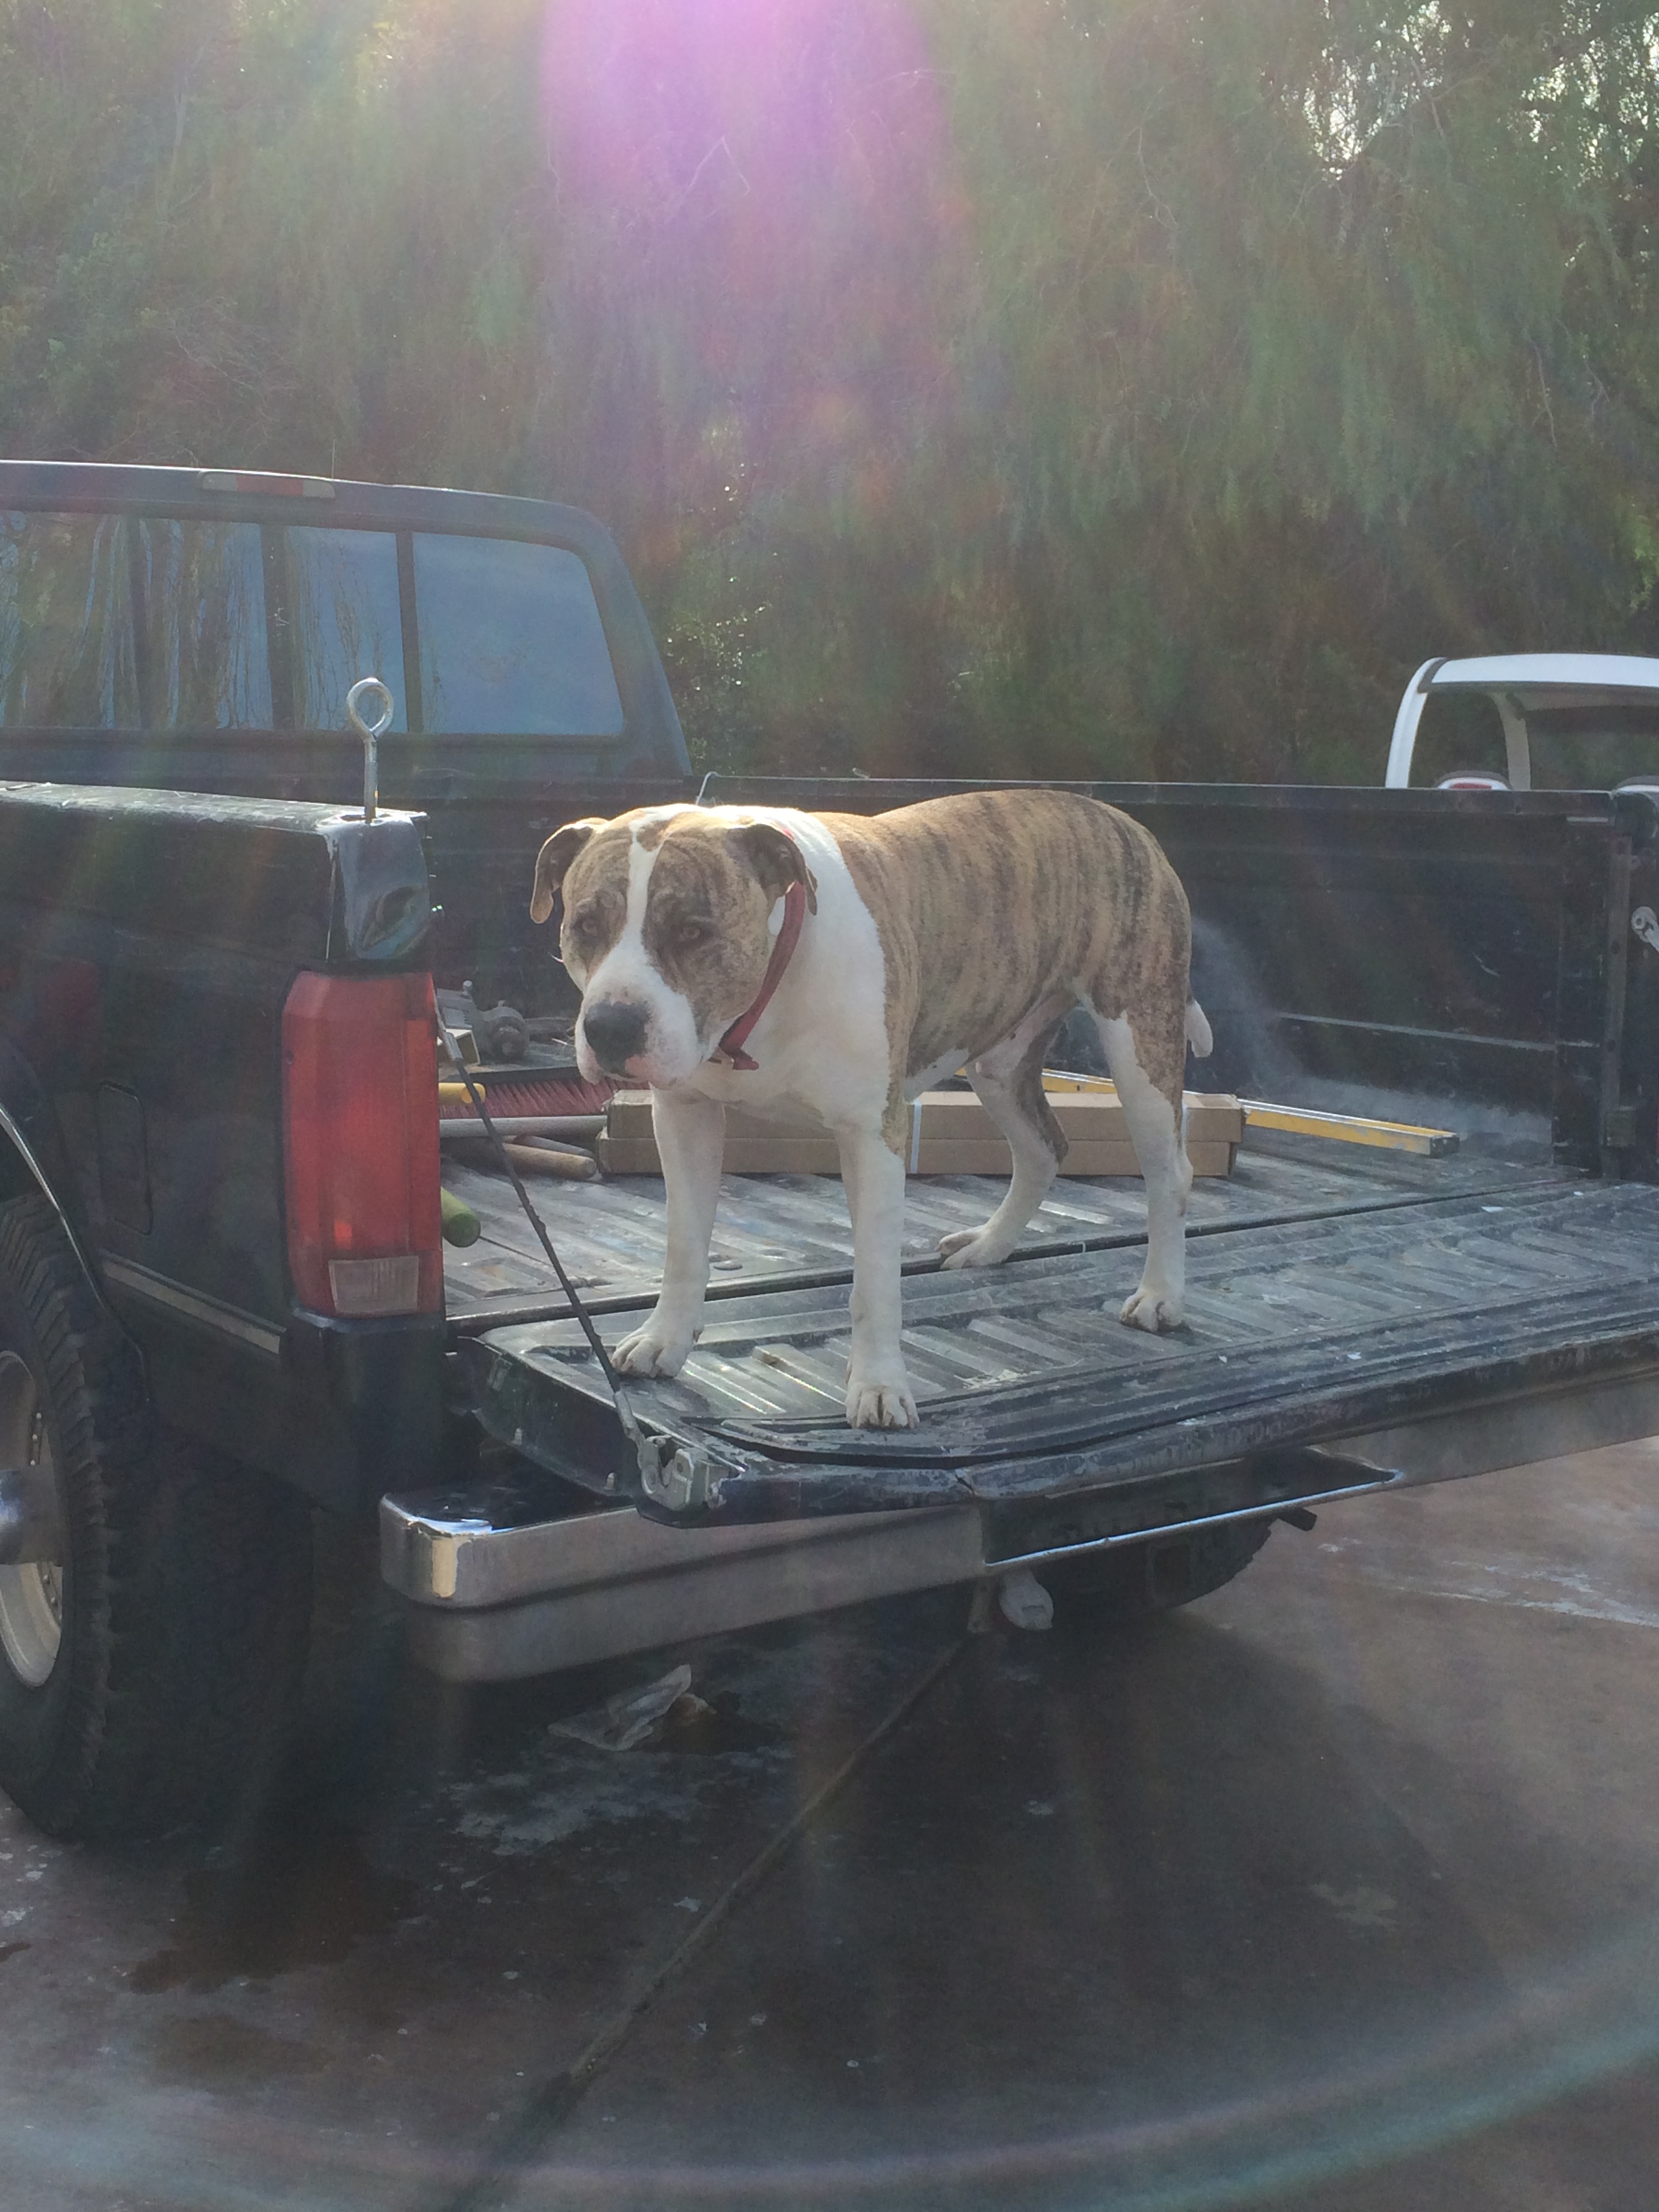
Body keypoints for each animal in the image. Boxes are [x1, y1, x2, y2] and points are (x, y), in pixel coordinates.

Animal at [530, 789, 1211, 1429]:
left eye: (692, 931)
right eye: (585, 926)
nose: (610, 1027)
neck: (764, 993)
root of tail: (1119, 818)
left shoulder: (871, 1138)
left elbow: (875, 1283)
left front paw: (880, 1386)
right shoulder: (684, 1114)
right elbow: (683, 1244)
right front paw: (664, 1339)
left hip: (1140, 1044)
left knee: (1169, 1173)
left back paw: (1161, 1296)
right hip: (999, 1060)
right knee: (1044, 1149)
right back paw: (990, 1245)